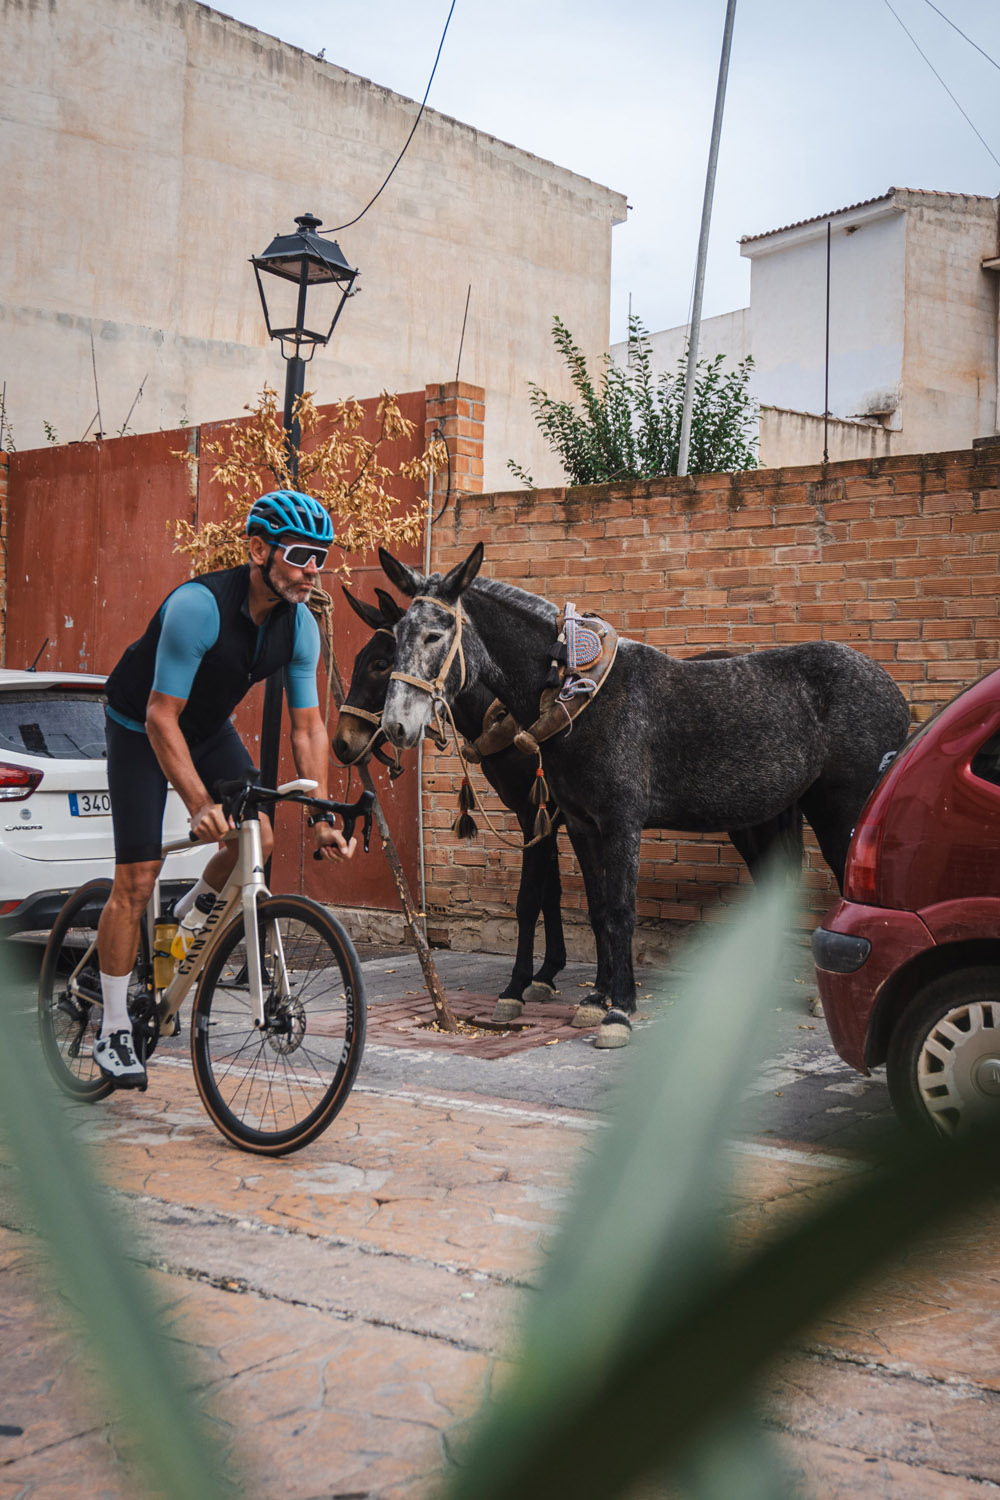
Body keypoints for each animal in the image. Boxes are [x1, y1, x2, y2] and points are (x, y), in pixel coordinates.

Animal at [378, 543, 913, 1048]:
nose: (395, 726)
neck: (581, 696)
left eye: (434, 635)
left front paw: (620, 1010)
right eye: (398, 634)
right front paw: (596, 997)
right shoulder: (581, 824)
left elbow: (621, 910)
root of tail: (890, 686)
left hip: (841, 808)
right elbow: (597, 910)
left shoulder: (620, 823)